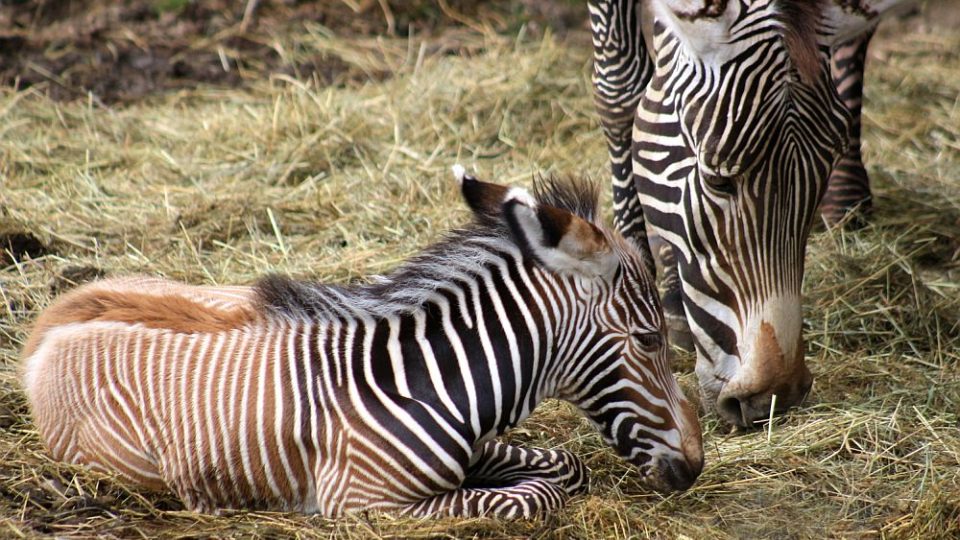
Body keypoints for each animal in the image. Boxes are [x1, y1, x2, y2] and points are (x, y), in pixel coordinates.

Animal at [18, 169, 700, 520]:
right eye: (650, 338)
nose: (694, 467)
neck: (433, 380)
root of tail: (45, 324)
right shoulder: (365, 501)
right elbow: (528, 499)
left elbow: (563, 466)